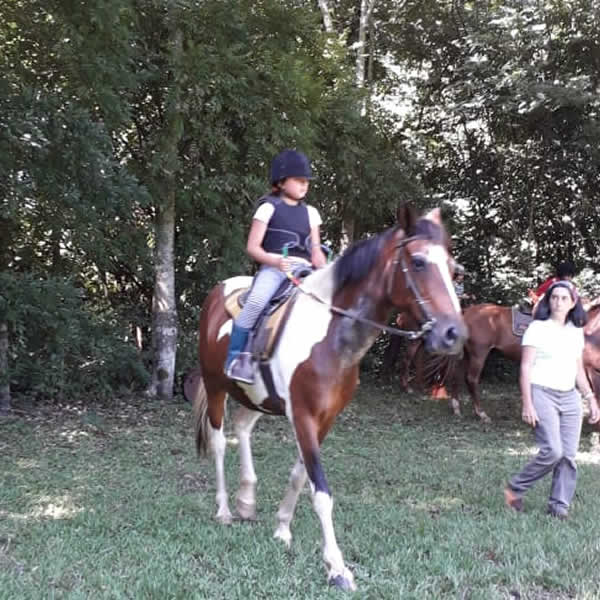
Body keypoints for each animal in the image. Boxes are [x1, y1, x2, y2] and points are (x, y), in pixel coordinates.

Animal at [185, 207, 466, 592]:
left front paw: (282, 529)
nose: (453, 334)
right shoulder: (302, 416)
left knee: (242, 427)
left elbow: (299, 476)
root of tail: (217, 293)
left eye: (453, 269)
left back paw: (246, 500)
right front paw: (336, 567)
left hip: (256, 397)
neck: (332, 336)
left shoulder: (325, 419)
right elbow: (321, 492)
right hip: (215, 388)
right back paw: (225, 510)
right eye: (419, 262)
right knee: (217, 443)